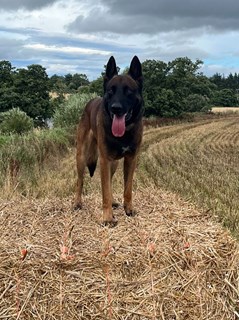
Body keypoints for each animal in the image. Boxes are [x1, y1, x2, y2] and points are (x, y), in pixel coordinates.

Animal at [74, 55, 143, 225]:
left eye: (129, 92)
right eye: (111, 91)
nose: (115, 108)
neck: (124, 133)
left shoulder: (131, 159)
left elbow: (127, 189)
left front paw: (128, 209)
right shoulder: (104, 160)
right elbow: (105, 190)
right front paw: (107, 217)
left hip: (115, 163)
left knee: (110, 181)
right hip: (81, 157)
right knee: (80, 181)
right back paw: (77, 202)